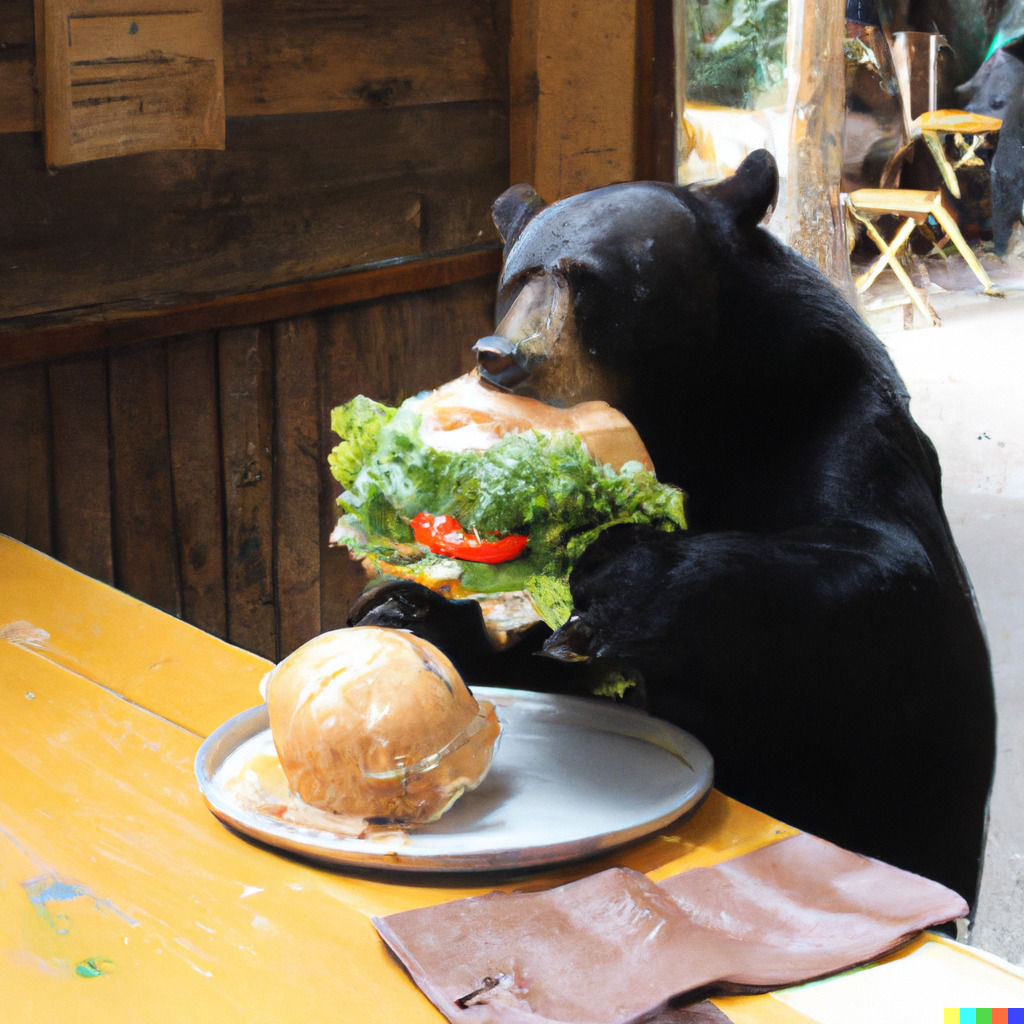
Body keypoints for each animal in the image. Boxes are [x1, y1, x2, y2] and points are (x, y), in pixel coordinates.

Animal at [350, 153, 991, 913]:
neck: (697, 421)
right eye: (516, 278)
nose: (500, 355)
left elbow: (894, 578)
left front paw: (622, 581)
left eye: (591, 281)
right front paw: (408, 611)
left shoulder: (838, 417)